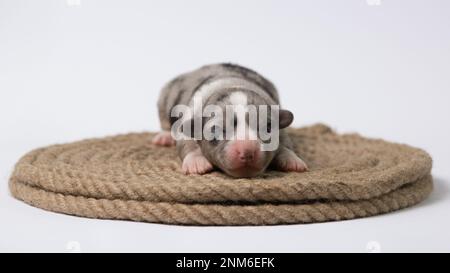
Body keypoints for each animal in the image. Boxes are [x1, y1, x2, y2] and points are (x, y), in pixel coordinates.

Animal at [153, 63, 308, 177]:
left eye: (268, 128)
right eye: (215, 131)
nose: (247, 152)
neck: (233, 84)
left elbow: (285, 142)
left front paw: (292, 159)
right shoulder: (190, 117)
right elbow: (187, 142)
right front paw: (196, 163)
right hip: (165, 98)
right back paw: (165, 137)